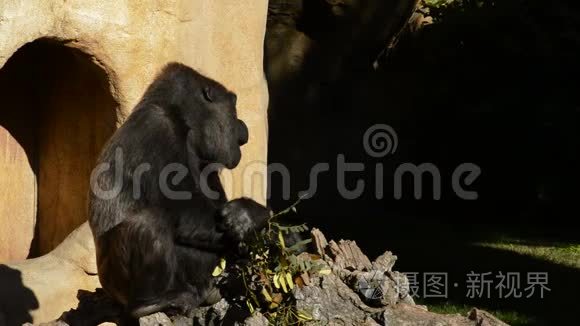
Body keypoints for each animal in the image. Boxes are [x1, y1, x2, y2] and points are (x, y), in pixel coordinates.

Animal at [88, 62, 270, 318]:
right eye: (233, 109)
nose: (242, 130)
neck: (184, 122)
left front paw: (248, 220)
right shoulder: (157, 126)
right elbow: (181, 208)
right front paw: (252, 215)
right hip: (117, 289)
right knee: (149, 223)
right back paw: (149, 302)